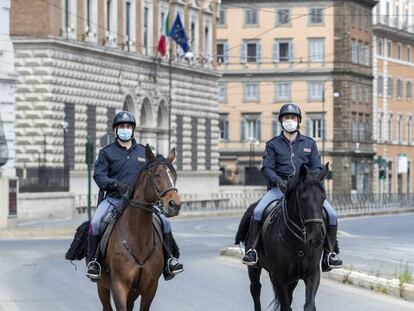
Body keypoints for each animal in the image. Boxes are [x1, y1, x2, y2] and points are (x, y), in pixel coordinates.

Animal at [98, 146, 182, 311]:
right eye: (156, 174)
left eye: (174, 175)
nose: (174, 205)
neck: (138, 237)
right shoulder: (119, 286)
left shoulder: (150, 287)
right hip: (102, 286)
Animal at [241, 165, 328, 310]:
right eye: (303, 198)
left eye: (323, 198)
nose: (316, 239)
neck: (300, 246)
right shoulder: (278, 277)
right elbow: (286, 306)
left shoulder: (312, 274)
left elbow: (309, 305)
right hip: (254, 268)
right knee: (255, 289)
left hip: (292, 279)